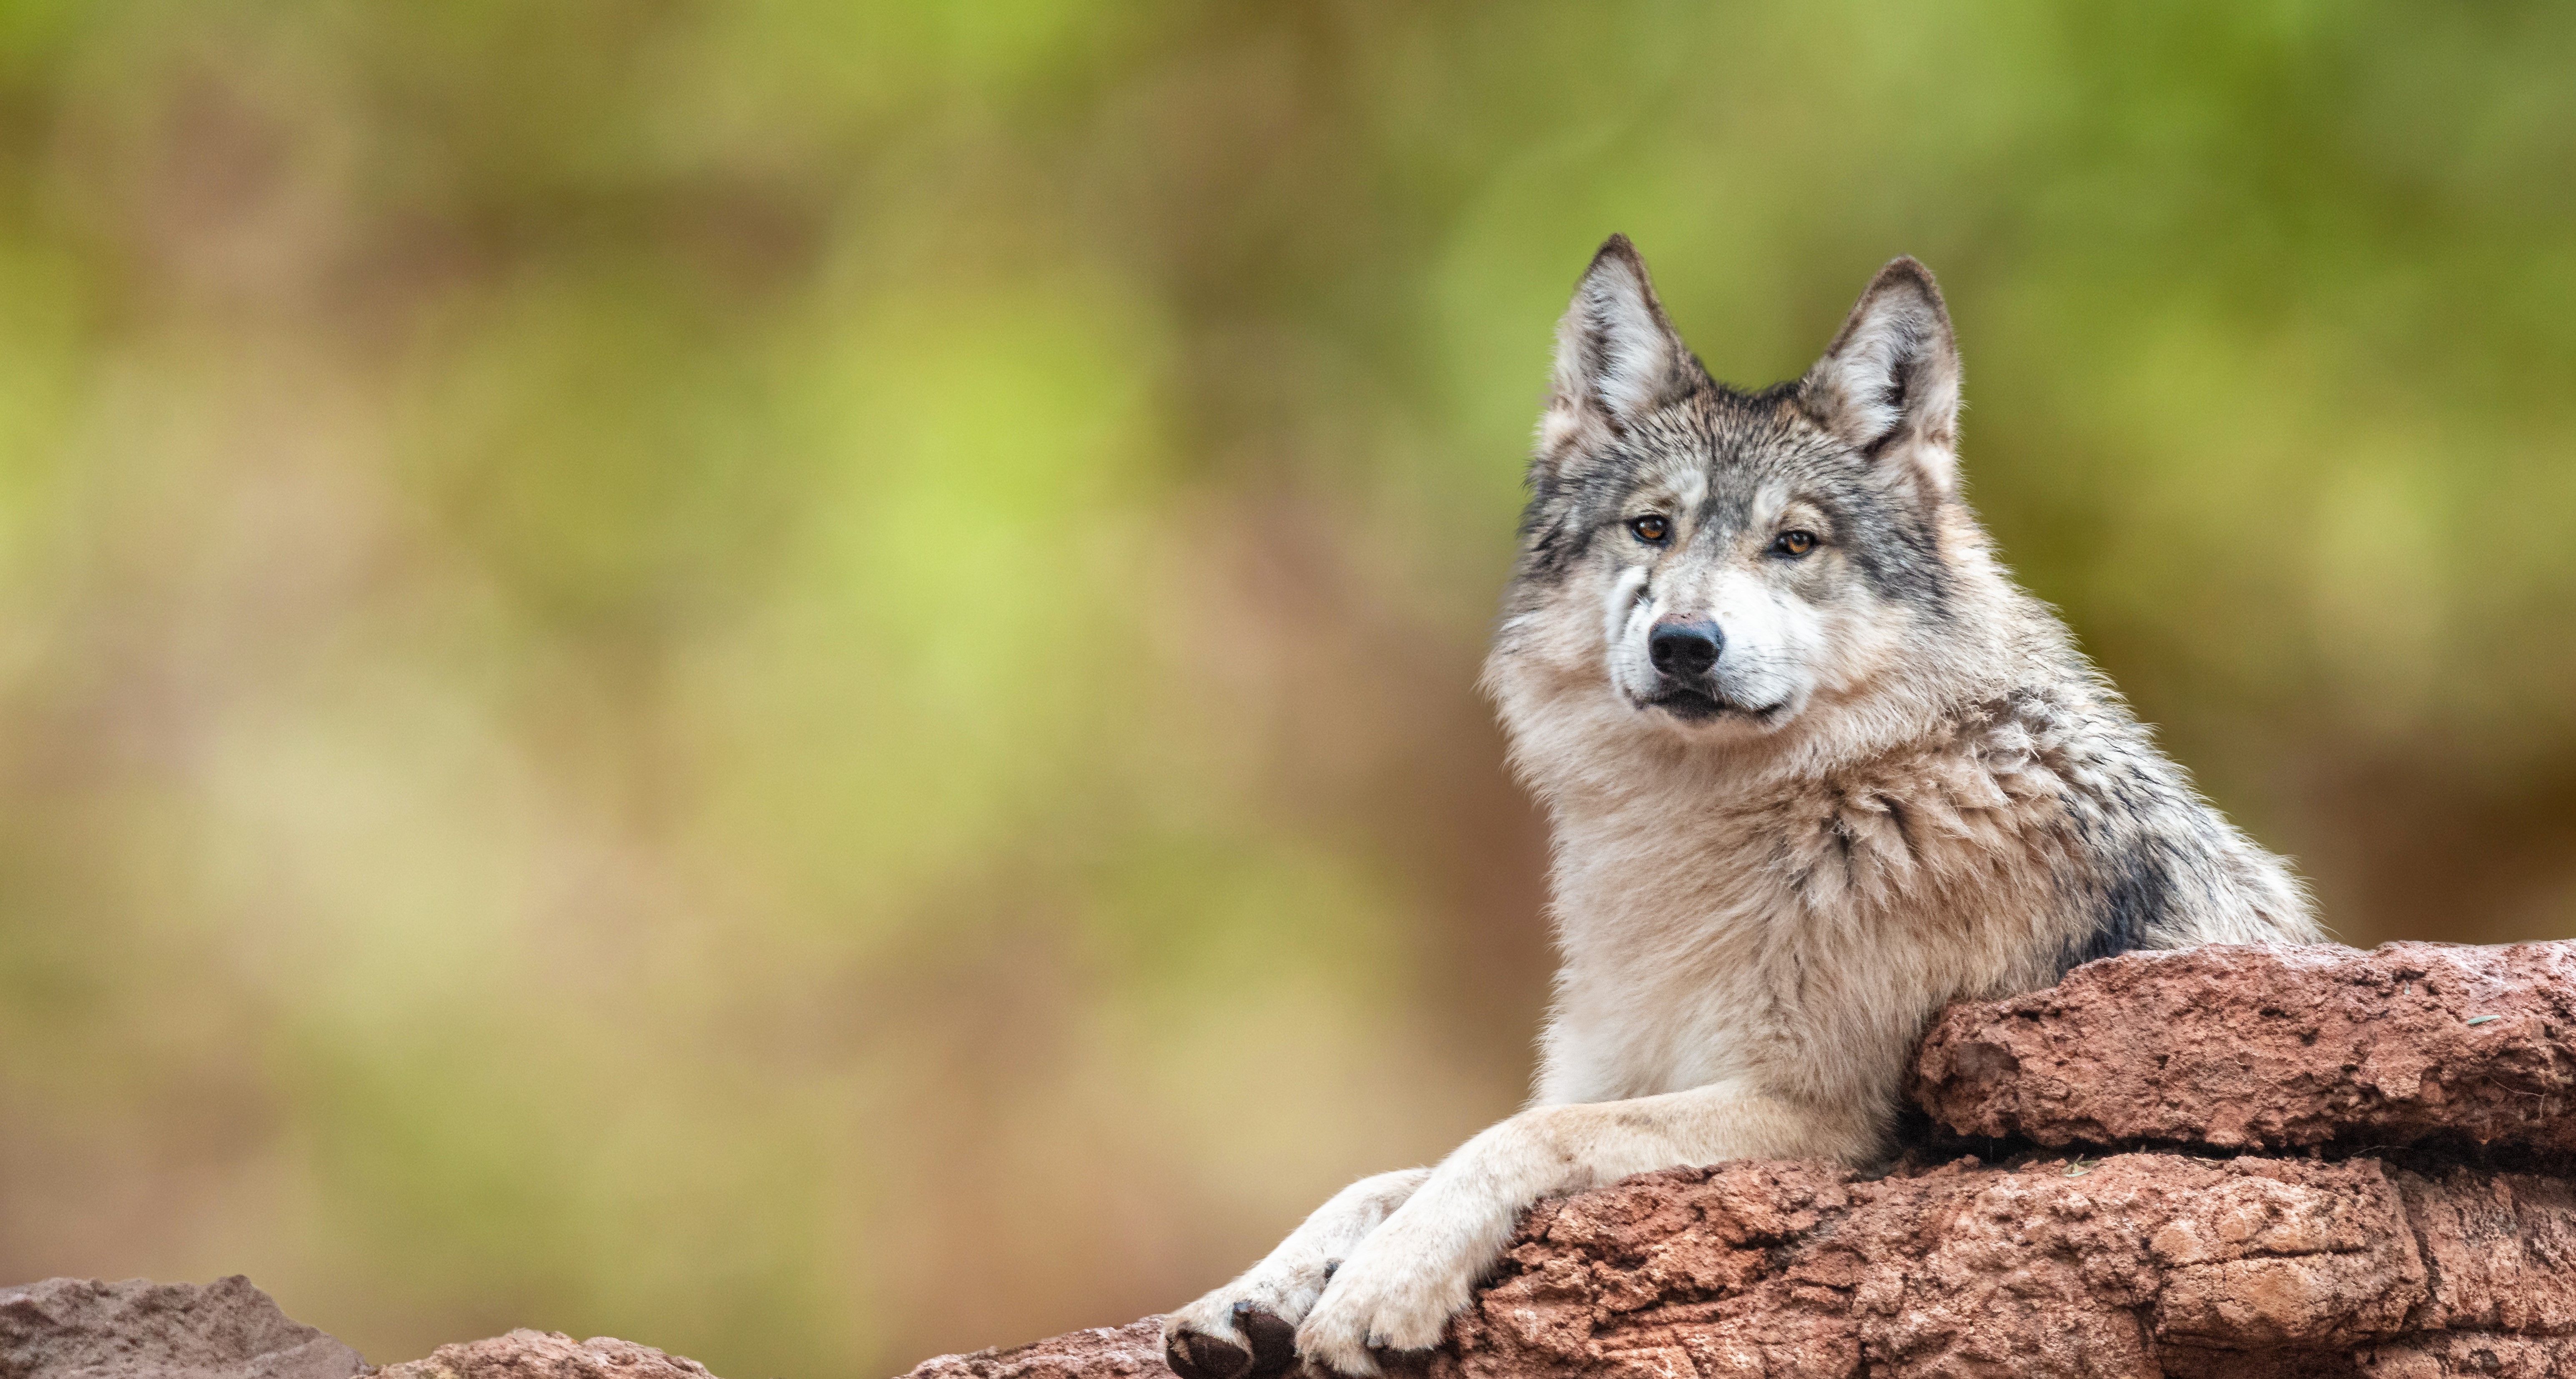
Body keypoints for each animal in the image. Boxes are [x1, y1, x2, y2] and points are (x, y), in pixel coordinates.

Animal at [1164, 240, 2318, 1379]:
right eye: (1650, 529)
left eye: (1793, 543)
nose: (1683, 643)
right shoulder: (1617, 1068)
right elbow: (1388, 1174)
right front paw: (1243, 1297)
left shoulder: (1814, 1116)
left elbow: (1515, 1139)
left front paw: (1379, 1289)